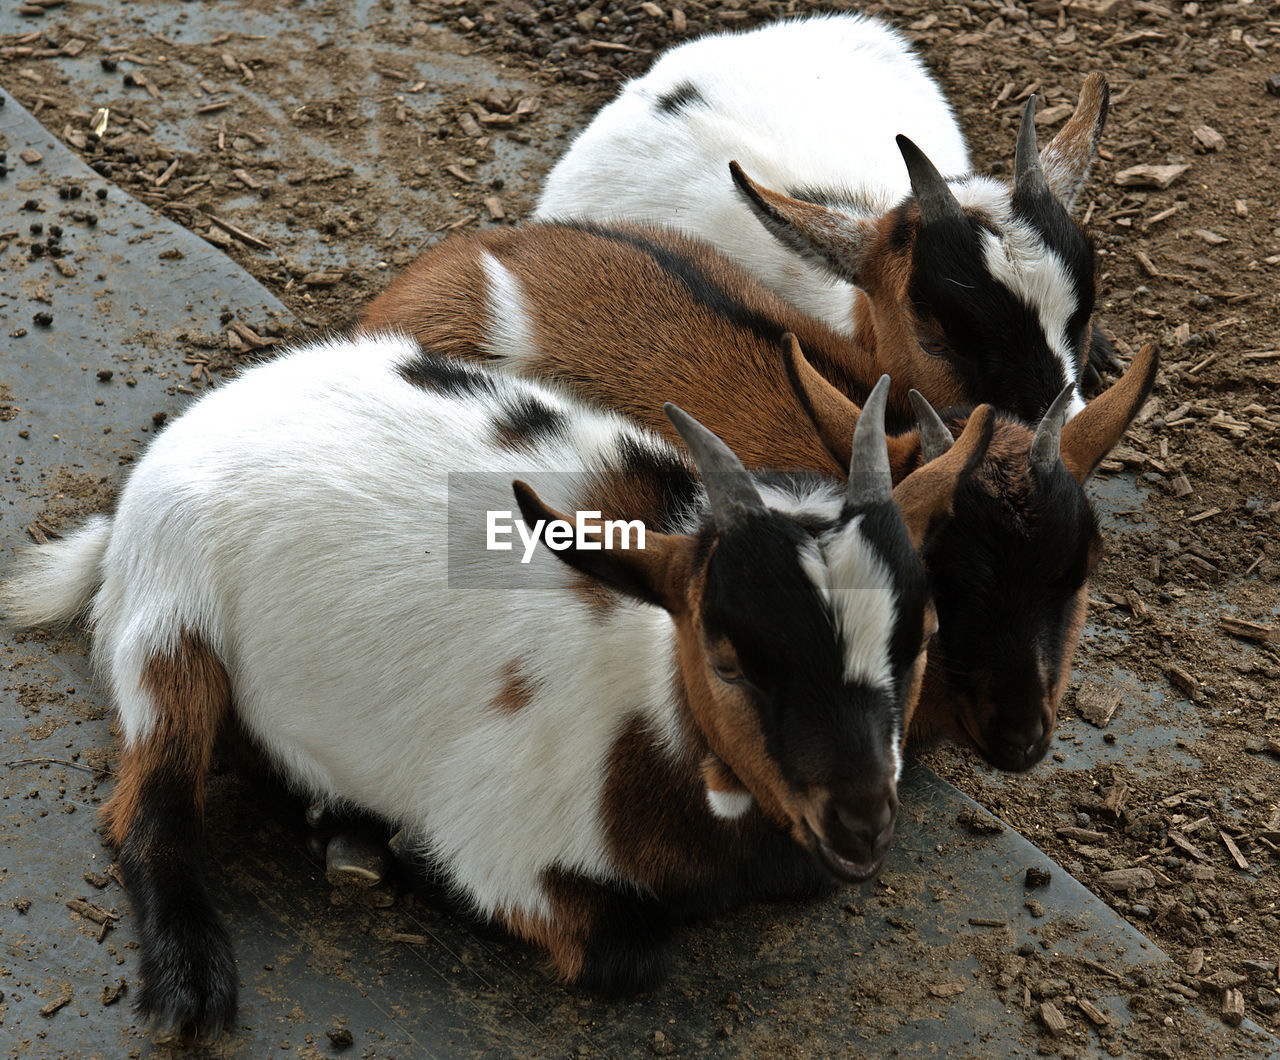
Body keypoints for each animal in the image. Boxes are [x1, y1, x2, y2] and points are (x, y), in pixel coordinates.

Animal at [0, 335, 988, 1039]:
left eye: (923, 639)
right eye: (730, 657)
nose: (861, 821)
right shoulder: (500, 837)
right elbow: (628, 951)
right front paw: (411, 859)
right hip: (173, 624)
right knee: (149, 802)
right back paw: (198, 975)